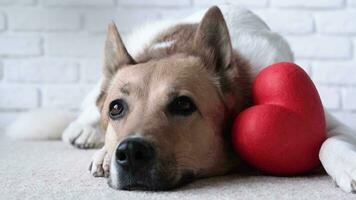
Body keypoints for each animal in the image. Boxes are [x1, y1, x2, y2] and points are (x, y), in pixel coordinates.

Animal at [6, 5, 356, 192]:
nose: (129, 153)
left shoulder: (327, 121)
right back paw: (86, 134)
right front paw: (104, 151)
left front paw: (349, 166)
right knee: (85, 113)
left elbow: (328, 141)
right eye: (117, 108)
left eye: (183, 105)